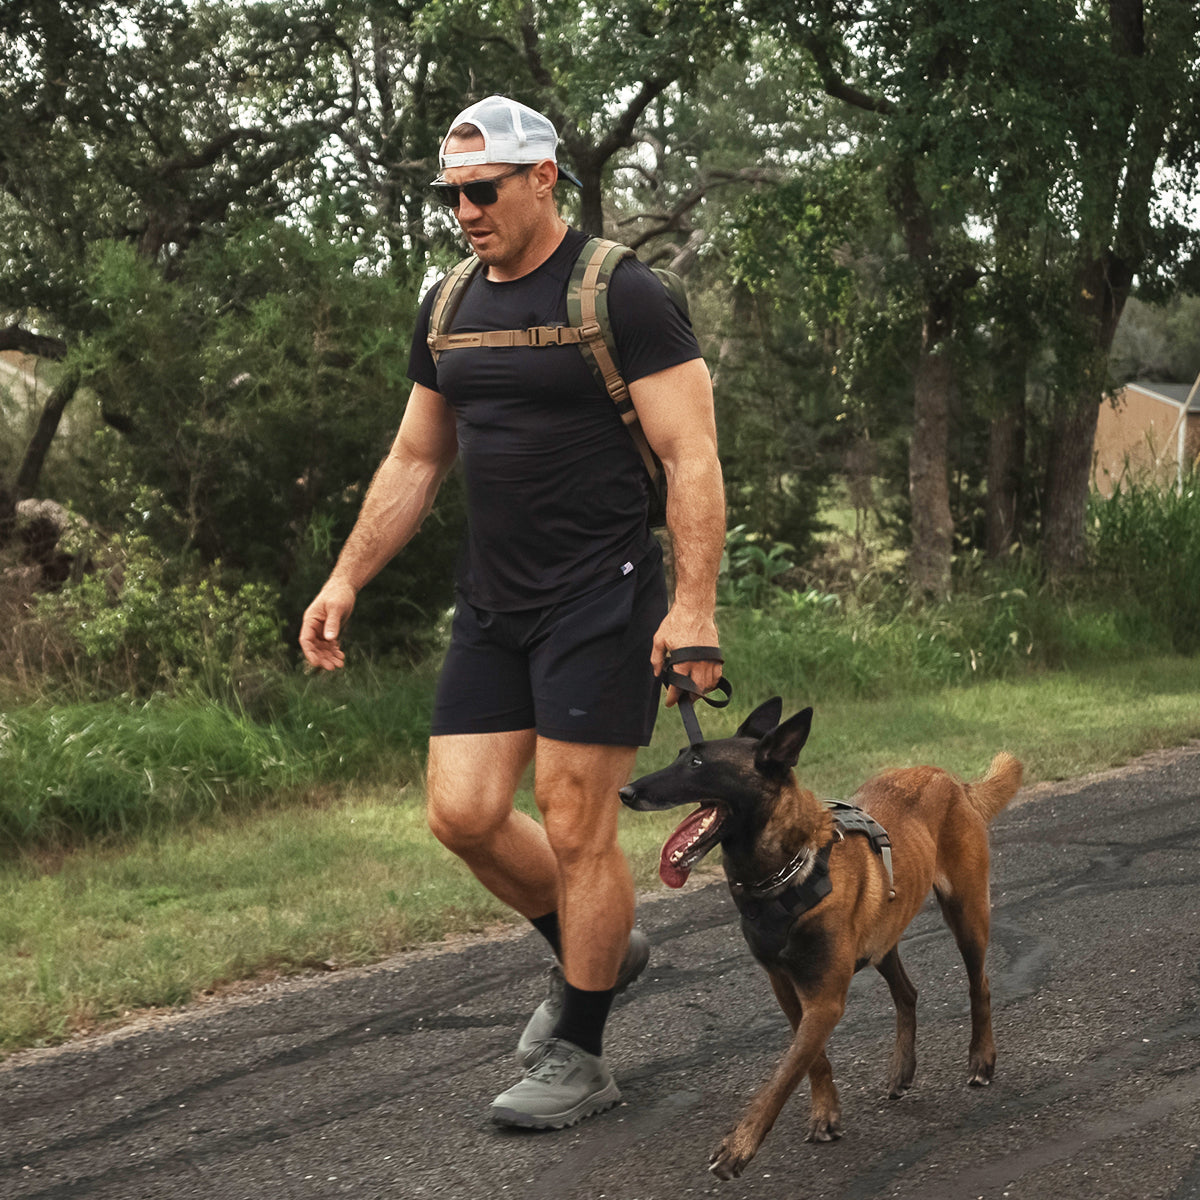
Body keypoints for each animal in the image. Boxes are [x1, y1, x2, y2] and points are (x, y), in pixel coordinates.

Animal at [619, 700, 1022, 1176]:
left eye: (697, 762)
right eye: (682, 754)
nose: (625, 791)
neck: (784, 874)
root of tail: (951, 779)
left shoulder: (824, 1001)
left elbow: (784, 1074)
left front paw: (739, 1144)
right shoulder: (786, 988)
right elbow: (812, 1061)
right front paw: (826, 1113)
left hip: (966, 914)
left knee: (980, 986)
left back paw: (981, 1058)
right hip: (882, 940)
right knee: (908, 994)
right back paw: (903, 1069)